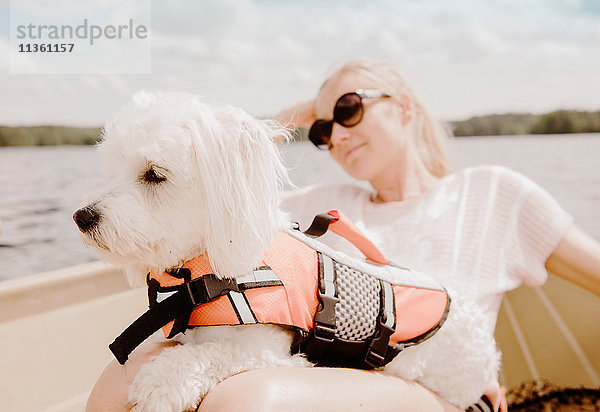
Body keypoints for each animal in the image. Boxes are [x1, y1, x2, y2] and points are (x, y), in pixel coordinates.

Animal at [77, 92, 502, 412]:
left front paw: (160, 382)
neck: (209, 268)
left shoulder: (264, 350)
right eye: (113, 169)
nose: (82, 216)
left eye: (154, 174)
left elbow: (207, 356)